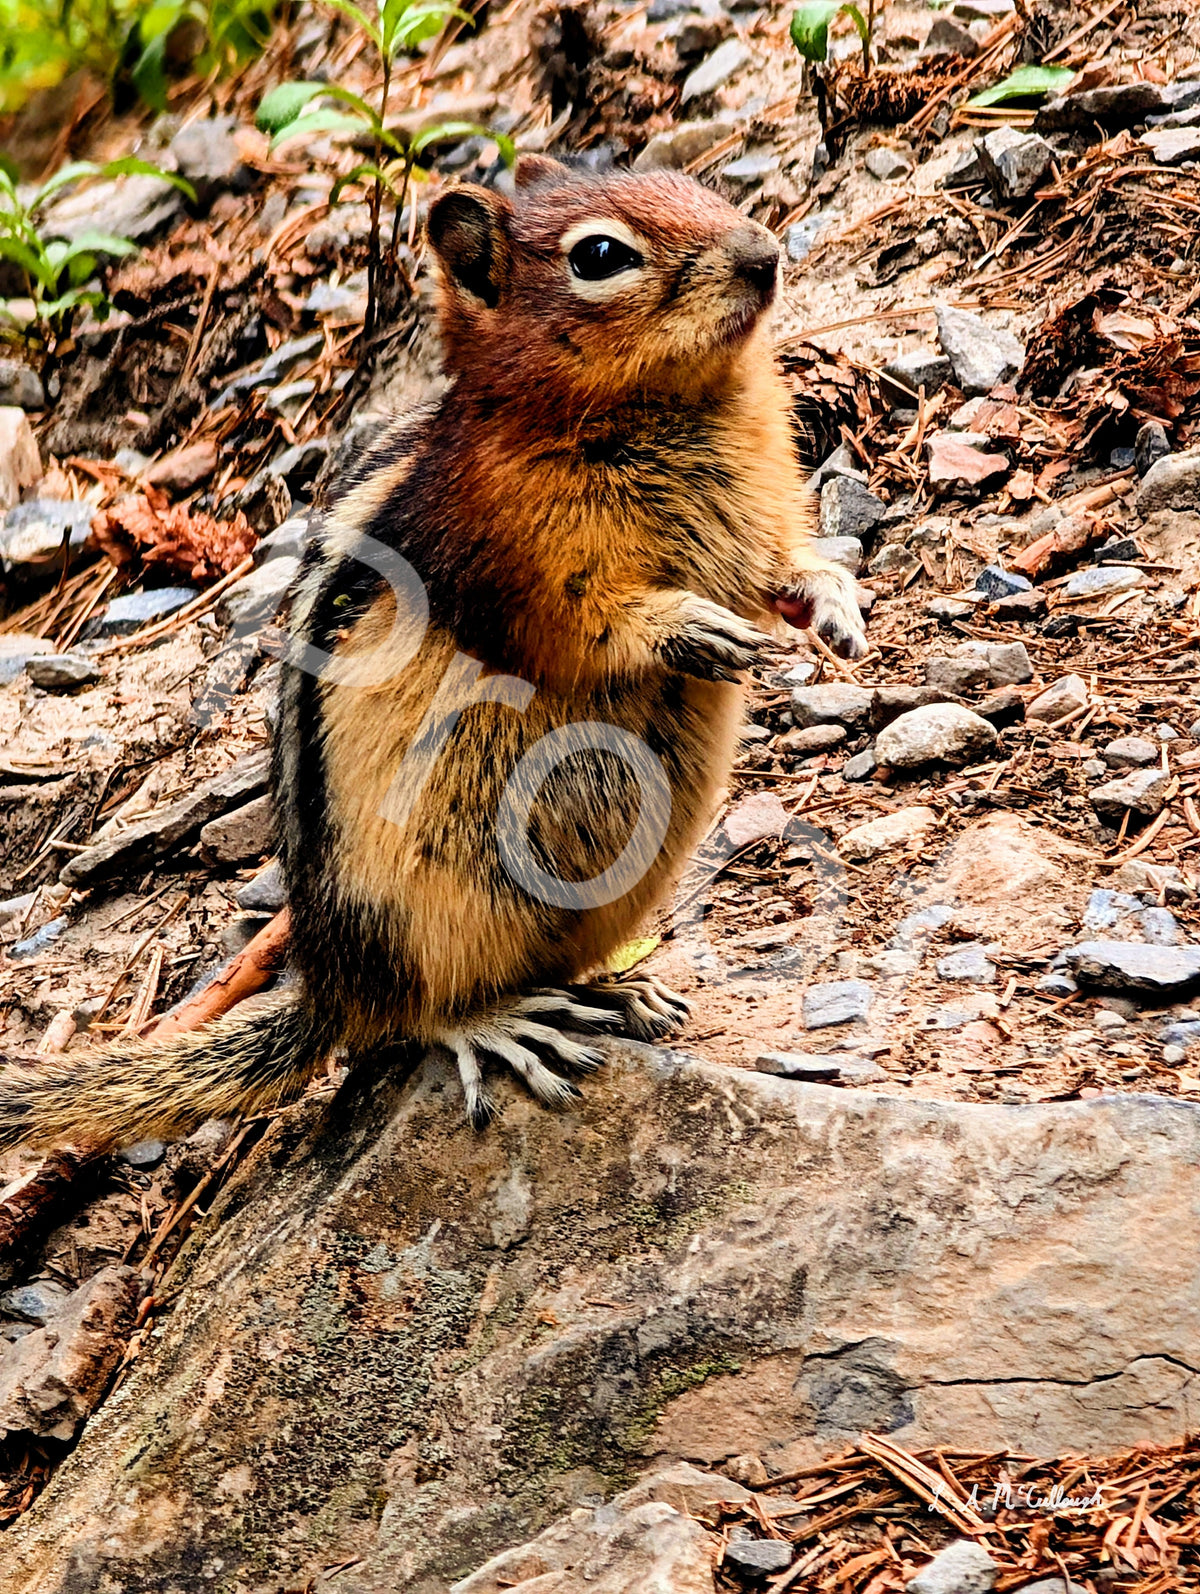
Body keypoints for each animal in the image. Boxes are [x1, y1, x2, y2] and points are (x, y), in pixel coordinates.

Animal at [0, 155, 868, 1151]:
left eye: (690, 182)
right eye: (600, 256)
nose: (764, 255)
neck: (677, 408)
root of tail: (329, 989)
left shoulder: (762, 513)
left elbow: (785, 567)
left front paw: (837, 605)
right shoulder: (518, 562)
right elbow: (587, 625)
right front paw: (691, 626)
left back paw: (624, 991)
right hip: (421, 921)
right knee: (416, 1017)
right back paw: (502, 1024)